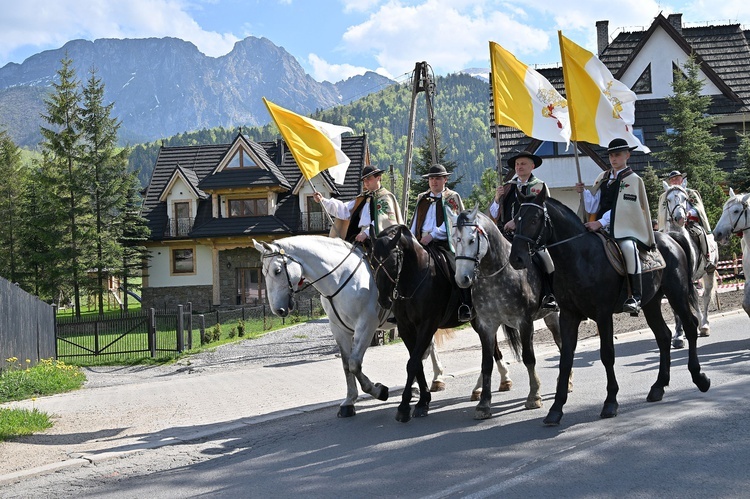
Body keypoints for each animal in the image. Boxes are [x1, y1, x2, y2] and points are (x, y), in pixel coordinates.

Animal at [256, 235, 450, 418]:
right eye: (263, 273)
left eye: (277, 271)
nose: (278, 310)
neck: (341, 278)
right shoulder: (339, 329)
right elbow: (346, 365)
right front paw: (349, 402)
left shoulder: (366, 326)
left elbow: (355, 363)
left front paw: (379, 391)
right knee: (427, 348)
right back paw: (431, 380)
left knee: (423, 350)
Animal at [370, 225, 516, 424]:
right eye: (373, 262)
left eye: (393, 263)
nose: (384, 300)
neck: (414, 278)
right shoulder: (406, 328)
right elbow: (416, 363)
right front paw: (423, 400)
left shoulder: (427, 325)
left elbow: (413, 363)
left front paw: (406, 407)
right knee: (493, 349)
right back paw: (488, 386)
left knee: (492, 348)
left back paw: (495, 383)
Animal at [446, 207, 564, 418]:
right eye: (454, 240)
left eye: (471, 240)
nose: (462, 279)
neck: (495, 274)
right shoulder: (486, 326)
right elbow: (486, 364)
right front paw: (484, 404)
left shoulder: (524, 322)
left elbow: (528, 357)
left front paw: (534, 396)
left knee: (561, 344)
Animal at [664, 185, 724, 348]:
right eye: (668, 199)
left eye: (685, 198)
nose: (680, 218)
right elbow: (676, 308)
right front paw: (678, 335)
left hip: (708, 273)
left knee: (705, 296)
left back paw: (704, 325)